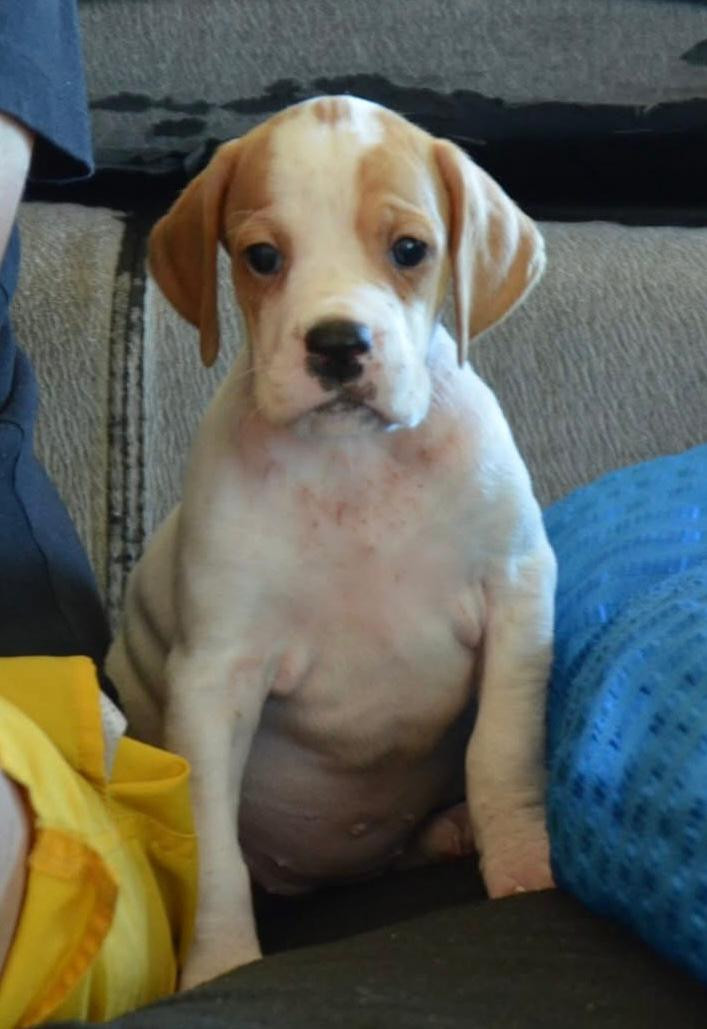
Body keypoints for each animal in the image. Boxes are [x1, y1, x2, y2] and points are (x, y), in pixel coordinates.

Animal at [106, 95, 557, 990]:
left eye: (410, 249)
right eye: (262, 256)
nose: (338, 343)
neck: (356, 466)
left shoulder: (518, 594)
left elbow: (499, 755)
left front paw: (524, 875)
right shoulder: (215, 675)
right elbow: (211, 844)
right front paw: (217, 964)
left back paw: (447, 829)